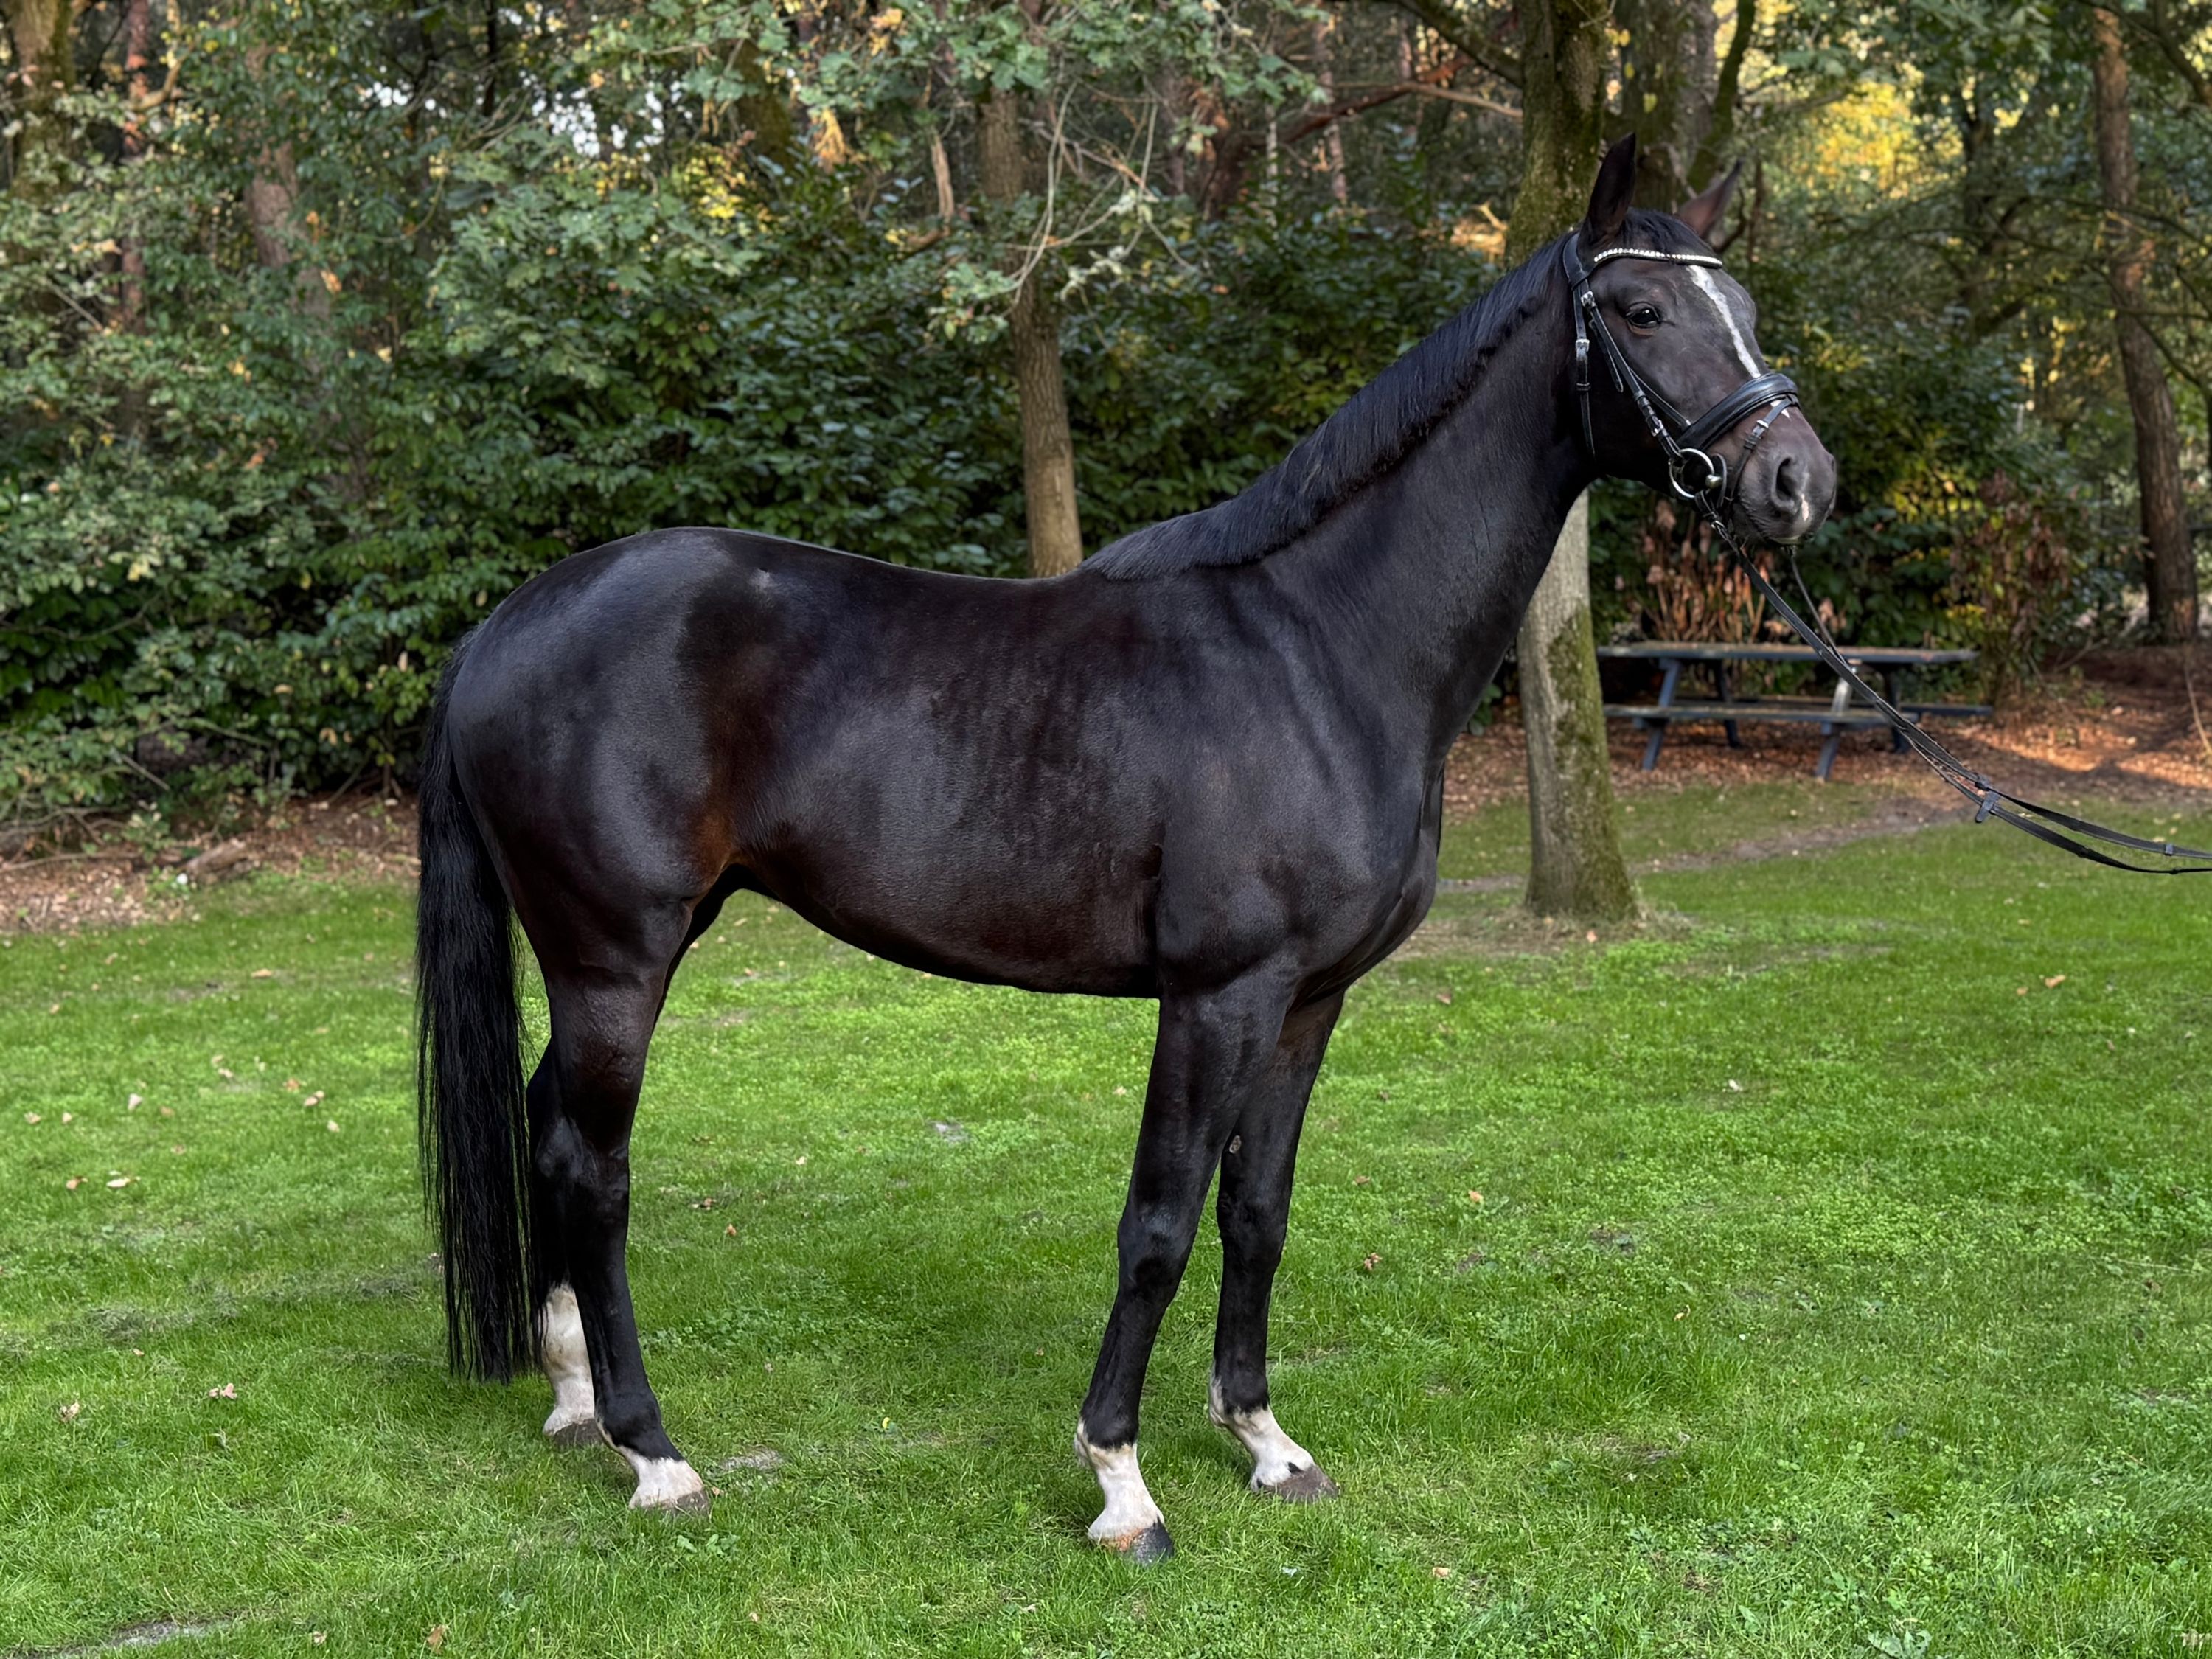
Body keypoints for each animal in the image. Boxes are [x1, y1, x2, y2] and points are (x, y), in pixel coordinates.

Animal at [413, 135, 1836, 1560]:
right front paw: (1121, 1481)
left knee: (545, 1126)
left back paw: (574, 1400)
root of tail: (507, 625)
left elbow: (1257, 1214)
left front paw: (1265, 1443)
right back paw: (655, 1453)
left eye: (1746, 308)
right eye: (1640, 310)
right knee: (592, 1170)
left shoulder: (1310, 999)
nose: (1797, 481)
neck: (1322, 650)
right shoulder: (1217, 995)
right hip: (615, 956)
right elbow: (1159, 1223)